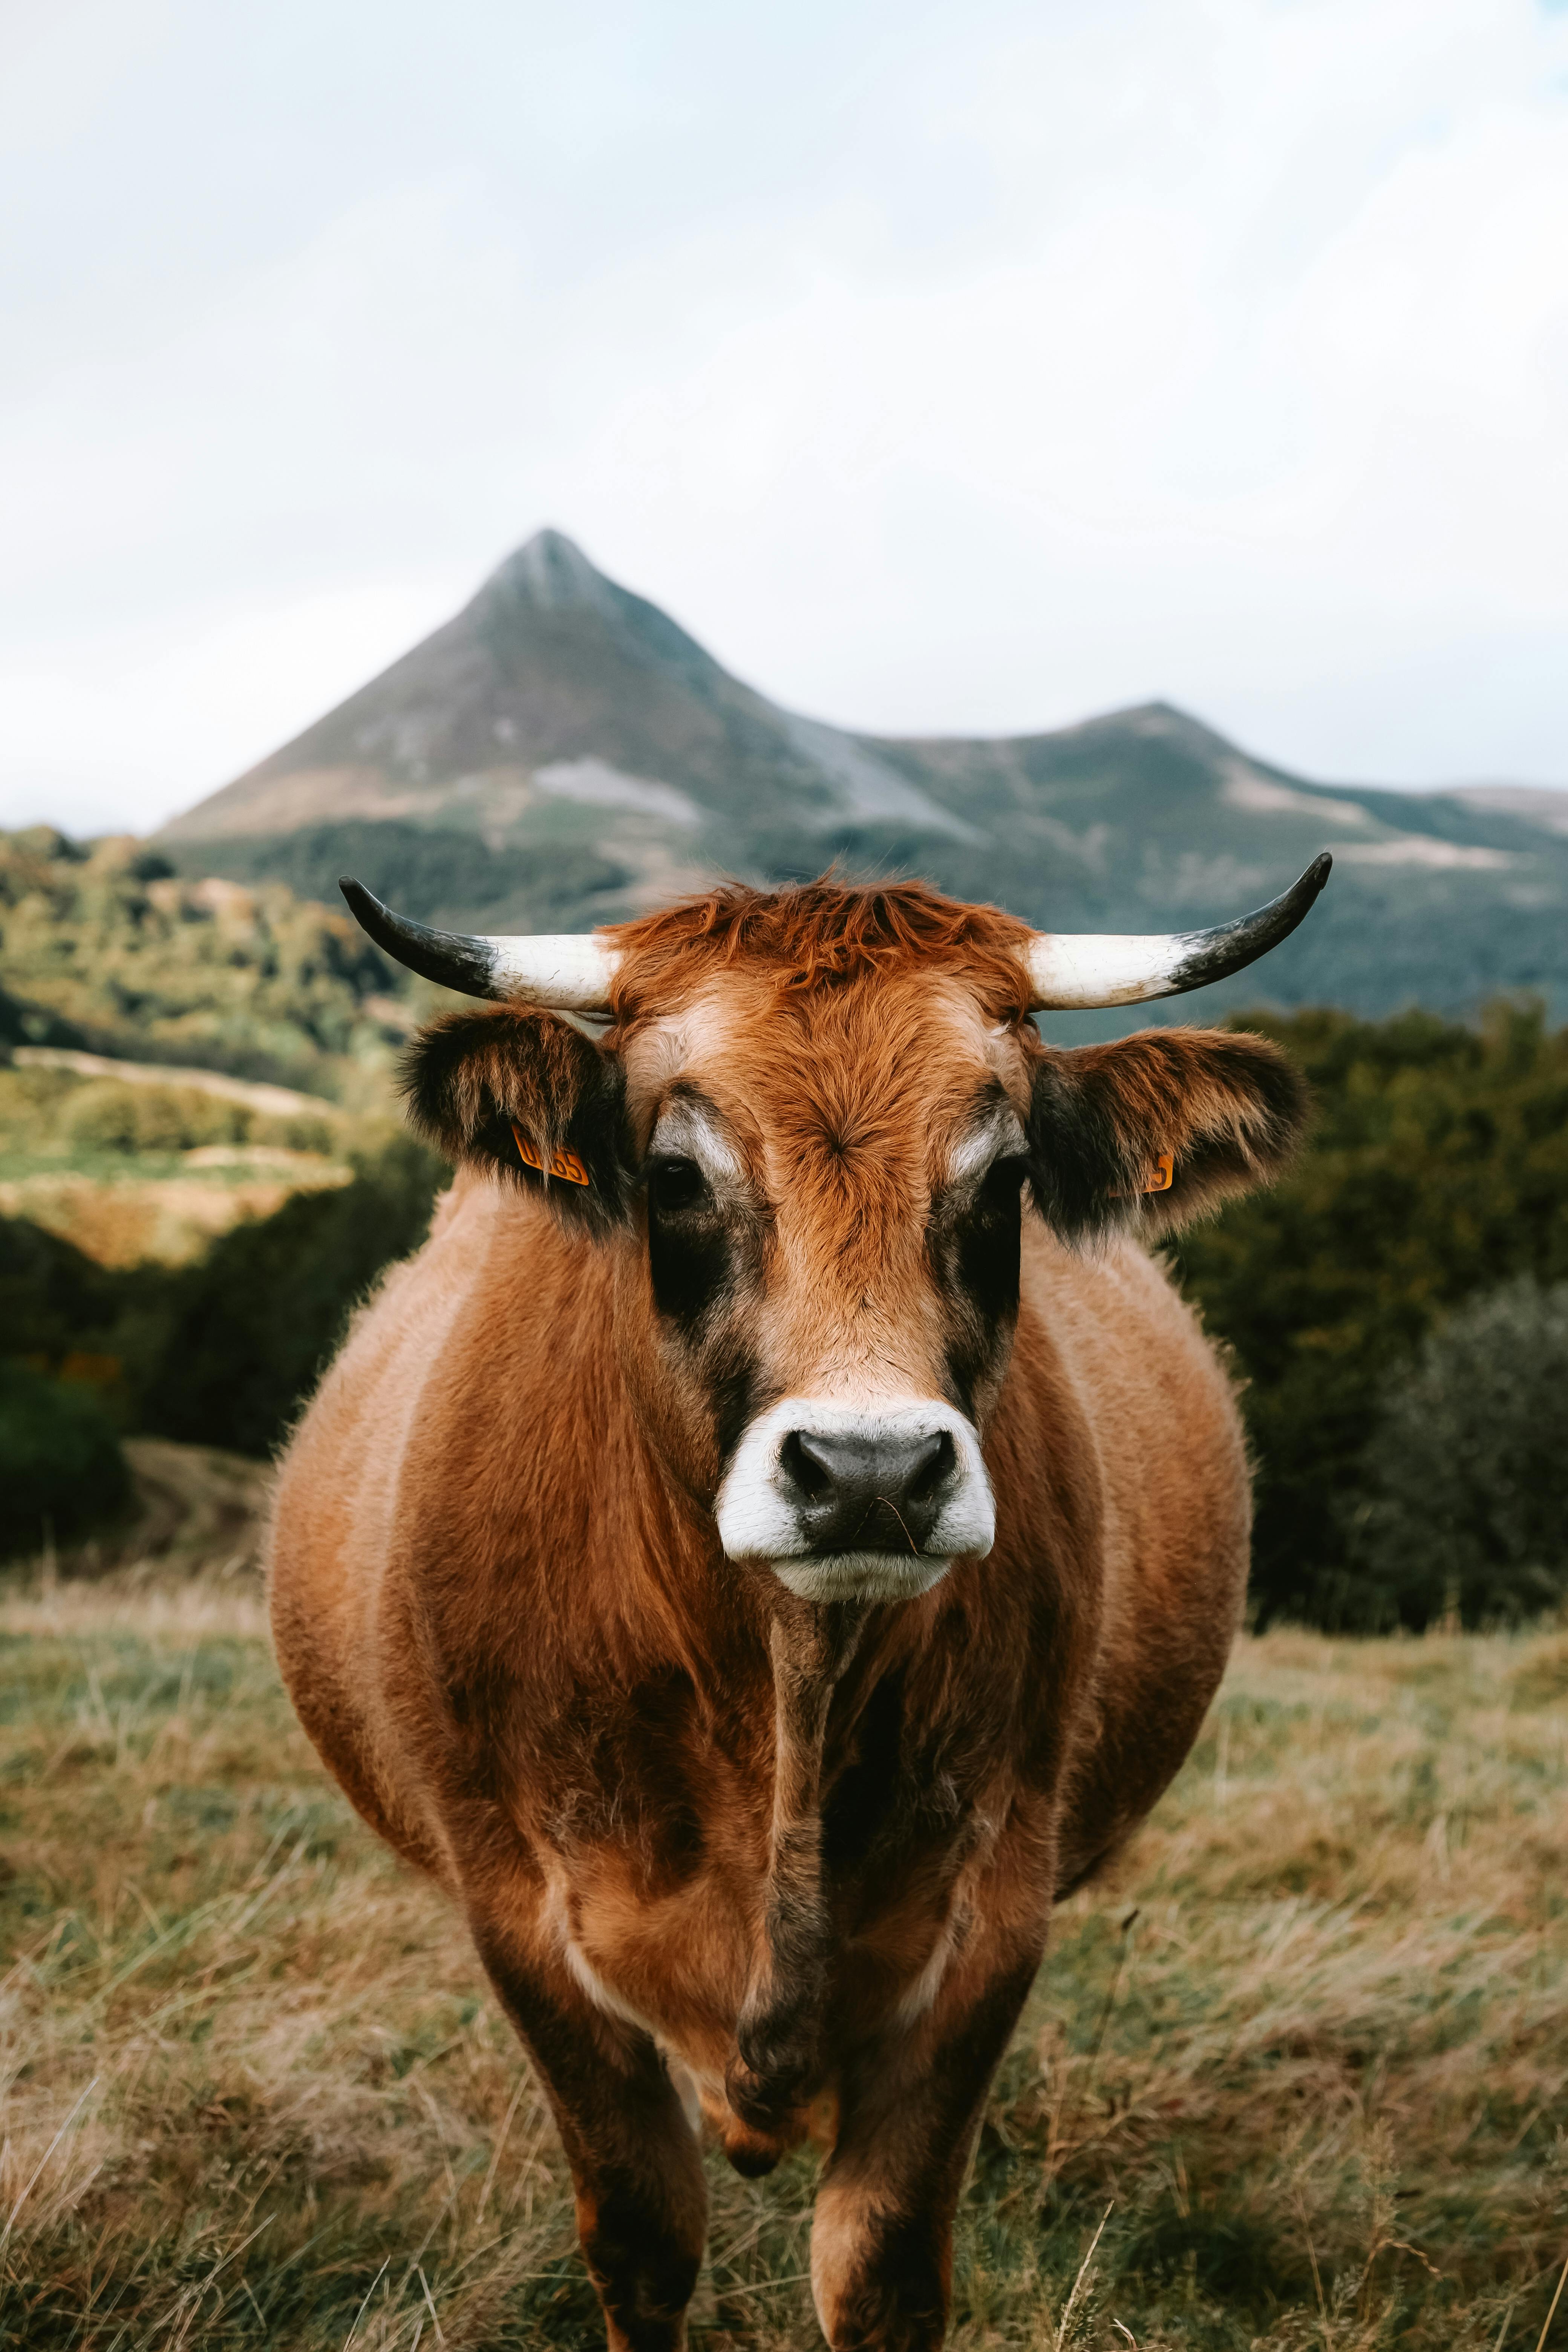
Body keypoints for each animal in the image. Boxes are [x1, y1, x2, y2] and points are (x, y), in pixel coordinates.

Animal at [268, 857, 1329, 2352]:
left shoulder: (989, 1922)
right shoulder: (523, 1922)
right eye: (671, 1174)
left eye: (1005, 1178)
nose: (870, 1472)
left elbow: (880, 2266)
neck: (784, 1683)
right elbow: (642, 2240)